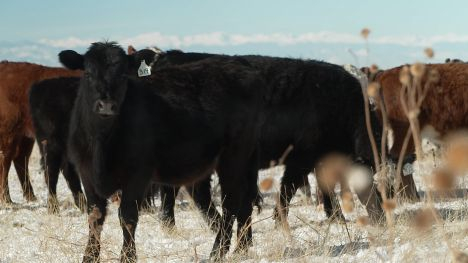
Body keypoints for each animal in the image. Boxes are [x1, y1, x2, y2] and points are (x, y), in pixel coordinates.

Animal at [0, 62, 81, 204]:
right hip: (9, 132)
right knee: (5, 161)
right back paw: (7, 199)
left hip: (25, 137)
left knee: (20, 159)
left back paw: (31, 197)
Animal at [59, 42, 264, 262]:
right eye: (88, 73)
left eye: (122, 75)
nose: (106, 105)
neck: (102, 142)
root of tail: (238, 62)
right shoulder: (86, 173)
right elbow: (95, 216)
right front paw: (89, 257)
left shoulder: (138, 174)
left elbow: (127, 216)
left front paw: (128, 256)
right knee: (243, 200)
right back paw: (242, 247)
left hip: (233, 156)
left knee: (231, 202)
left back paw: (218, 251)